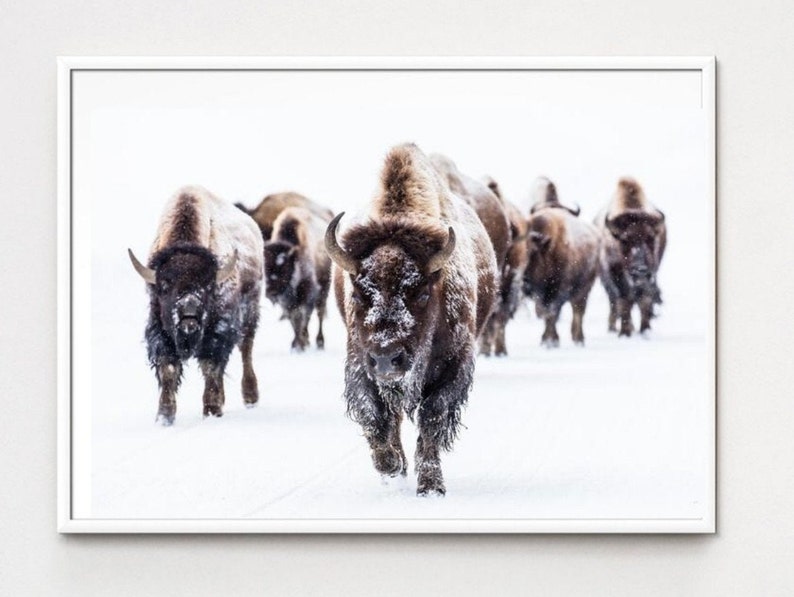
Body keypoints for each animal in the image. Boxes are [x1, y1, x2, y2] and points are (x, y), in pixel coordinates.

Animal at [128, 186, 264, 425]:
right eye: (165, 286)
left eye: (208, 285)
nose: (189, 315)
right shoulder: (160, 331)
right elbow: (168, 369)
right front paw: (164, 417)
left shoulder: (217, 333)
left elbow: (210, 367)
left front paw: (211, 410)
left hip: (250, 312)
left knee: (246, 349)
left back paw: (250, 397)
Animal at [325, 143, 498, 496]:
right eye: (358, 293)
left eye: (420, 293)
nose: (387, 358)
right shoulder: (360, 365)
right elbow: (374, 416)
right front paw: (391, 468)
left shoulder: (454, 367)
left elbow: (432, 418)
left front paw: (431, 486)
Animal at [595, 177, 666, 336]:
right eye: (624, 240)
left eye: (650, 238)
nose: (640, 269)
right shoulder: (616, 276)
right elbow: (624, 302)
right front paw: (625, 332)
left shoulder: (651, 274)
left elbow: (644, 300)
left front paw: (645, 329)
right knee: (614, 302)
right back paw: (613, 327)